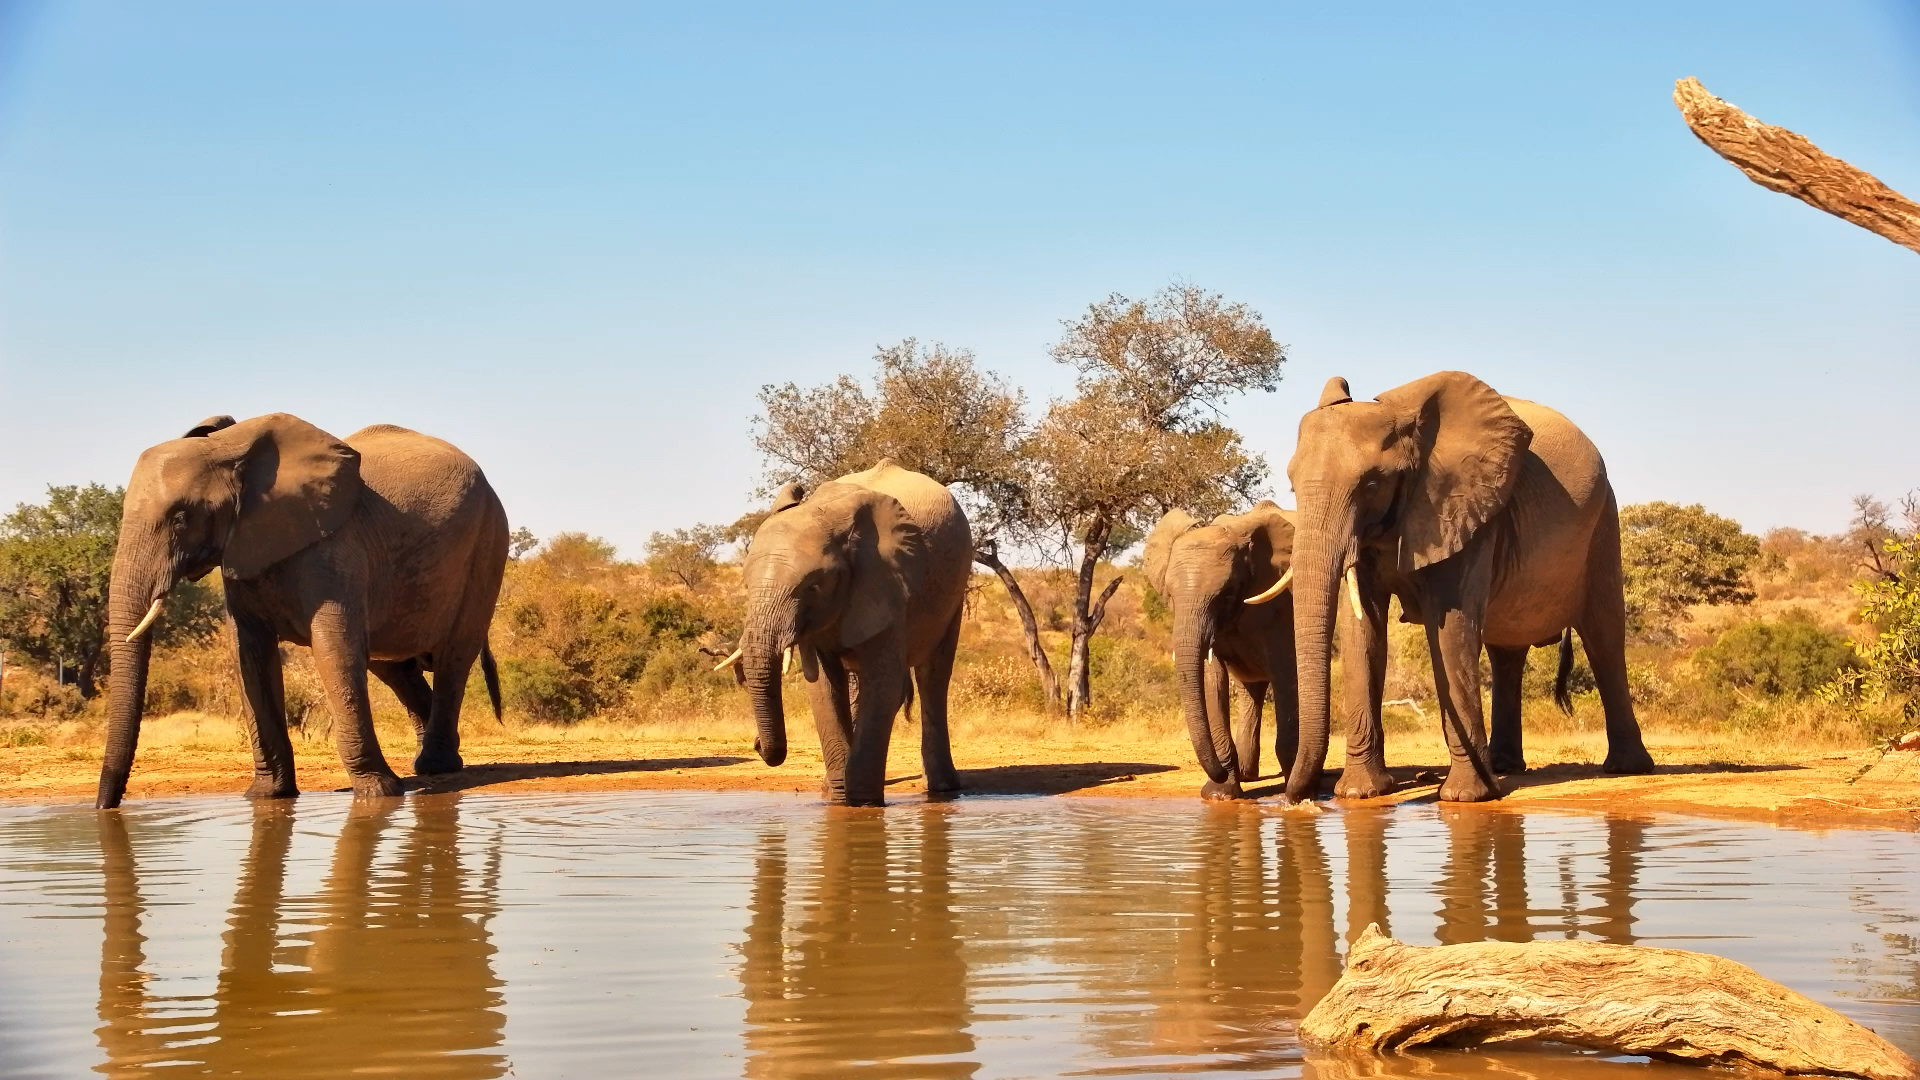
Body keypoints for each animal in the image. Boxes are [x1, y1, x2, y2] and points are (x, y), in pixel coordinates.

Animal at [95, 413, 509, 809]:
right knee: (394, 667)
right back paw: (433, 764)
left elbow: (334, 650)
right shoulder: (243, 555)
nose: (104, 807)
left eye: (182, 517)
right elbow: (250, 658)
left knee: (455, 654)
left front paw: (379, 794)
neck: (230, 448)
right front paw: (266, 796)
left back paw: (436, 766)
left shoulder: (333, 549)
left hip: (489, 543)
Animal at [720, 459, 972, 807]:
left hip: (955, 591)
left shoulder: (886, 585)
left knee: (932, 677)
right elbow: (822, 688)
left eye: (813, 586)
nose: (756, 743)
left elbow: (883, 685)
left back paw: (944, 789)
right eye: (746, 585)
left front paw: (863, 804)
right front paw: (839, 800)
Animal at [1142, 501, 1300, 800]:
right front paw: (1219, 794)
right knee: (1251, 690)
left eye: (1226, 594)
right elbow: (1211, 678)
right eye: (1170, 596)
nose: (1216, 771)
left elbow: (1286, 671)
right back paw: (1248, 775)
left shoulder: (1282, 605)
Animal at [1281, 371, 1654, 805]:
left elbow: (1451, 629)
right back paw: (1507, 766)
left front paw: (1466, 798)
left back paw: (1627, 768)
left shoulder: (1462, 508)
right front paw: (1360, 793)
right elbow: (1362, 633)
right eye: (1293, 488)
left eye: (1372, 484)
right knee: (1506, 652)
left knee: (1604, 637)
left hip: (1603, 524)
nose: (1297, 800)